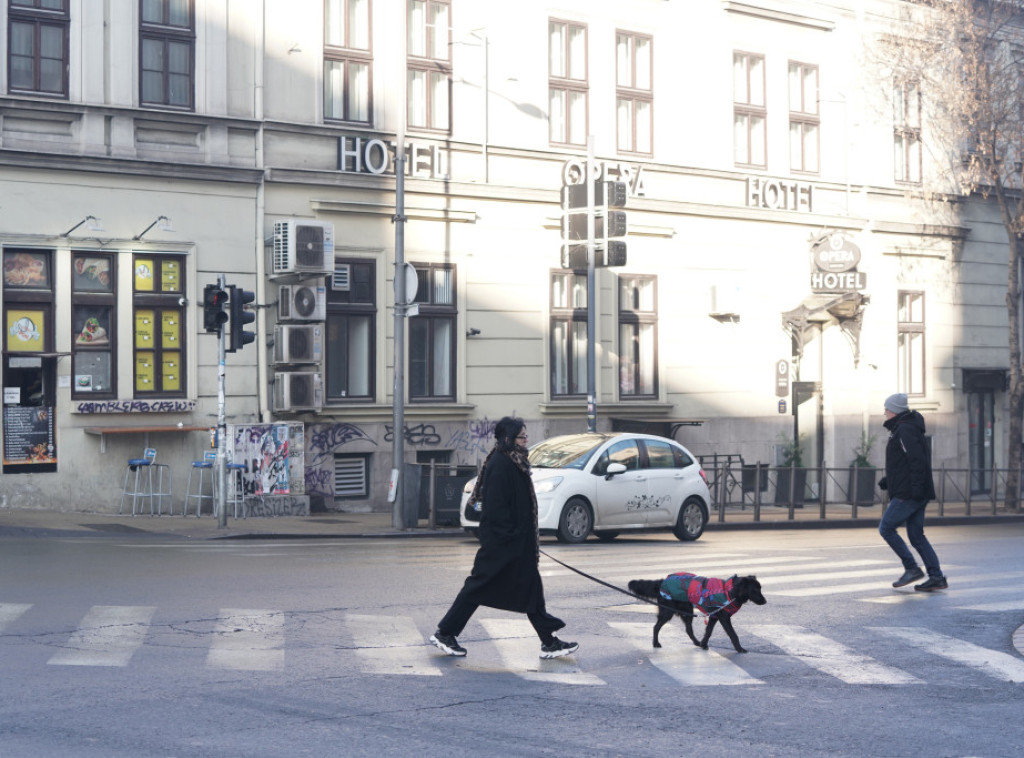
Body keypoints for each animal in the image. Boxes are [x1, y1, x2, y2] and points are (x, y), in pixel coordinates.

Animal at [626, 573, 765, 651]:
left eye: (760, 588)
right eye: (755, 590)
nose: (765, 601)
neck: (730, 591)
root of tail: (661, 582)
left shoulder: (714, 616)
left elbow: (708, 631)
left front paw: (703, 644)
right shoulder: (724, 617)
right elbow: (733, 634)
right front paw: (740, 649)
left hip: (686, 611)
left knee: (688, 629)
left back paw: (697, 643)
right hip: (668, 612)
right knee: (656, 627)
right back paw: (655, 643)